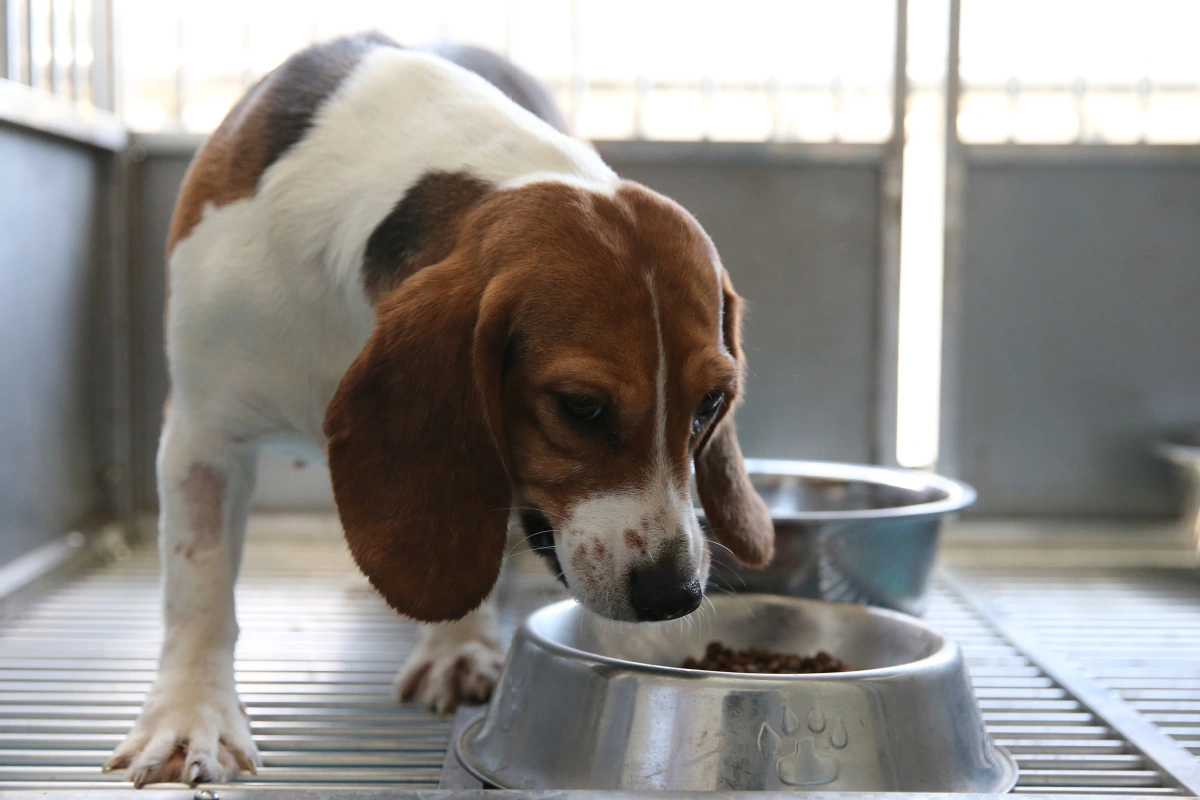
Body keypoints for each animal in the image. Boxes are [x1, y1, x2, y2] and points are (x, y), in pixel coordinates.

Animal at [108, 32, 772, 786]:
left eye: (712, 403)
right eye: (580, 407)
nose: (675, 594)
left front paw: (456, 644)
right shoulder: (202, 432)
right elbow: (199, 584)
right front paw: (191, 715)